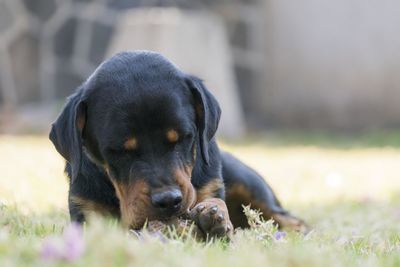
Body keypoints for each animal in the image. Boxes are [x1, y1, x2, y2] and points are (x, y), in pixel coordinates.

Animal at [50, 51, 306, 238]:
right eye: (119, 150)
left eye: (182, 137)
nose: (168, 200)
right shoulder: (86, 212)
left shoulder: (210, 185)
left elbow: (214, 201)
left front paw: (213, 216)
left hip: (248, 182)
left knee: (289, 218)